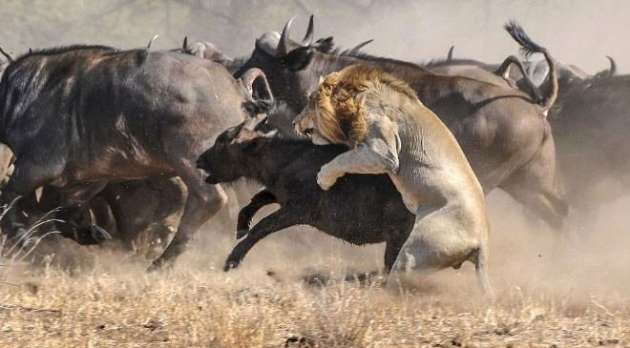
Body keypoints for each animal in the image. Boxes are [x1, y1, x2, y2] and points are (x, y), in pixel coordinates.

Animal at [294, 65, 496, 296]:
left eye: (310, 101)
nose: (294, 123)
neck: (355, 97)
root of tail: (483, 240)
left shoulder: (383, 153)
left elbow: (343, 159)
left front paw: (323, 178)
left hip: (415, 251)